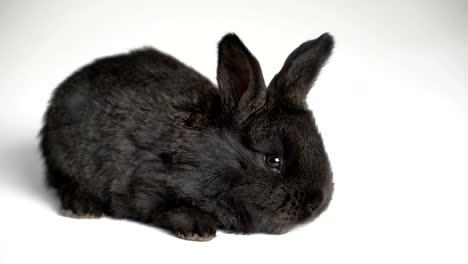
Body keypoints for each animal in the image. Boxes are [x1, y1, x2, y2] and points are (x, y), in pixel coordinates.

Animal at [39, 33, 332, 241]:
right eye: (273, 160)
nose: (316, 202)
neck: (215, 156)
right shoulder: (147, 187)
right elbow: (171, 208)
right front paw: (199, 229)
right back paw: (83, 207)